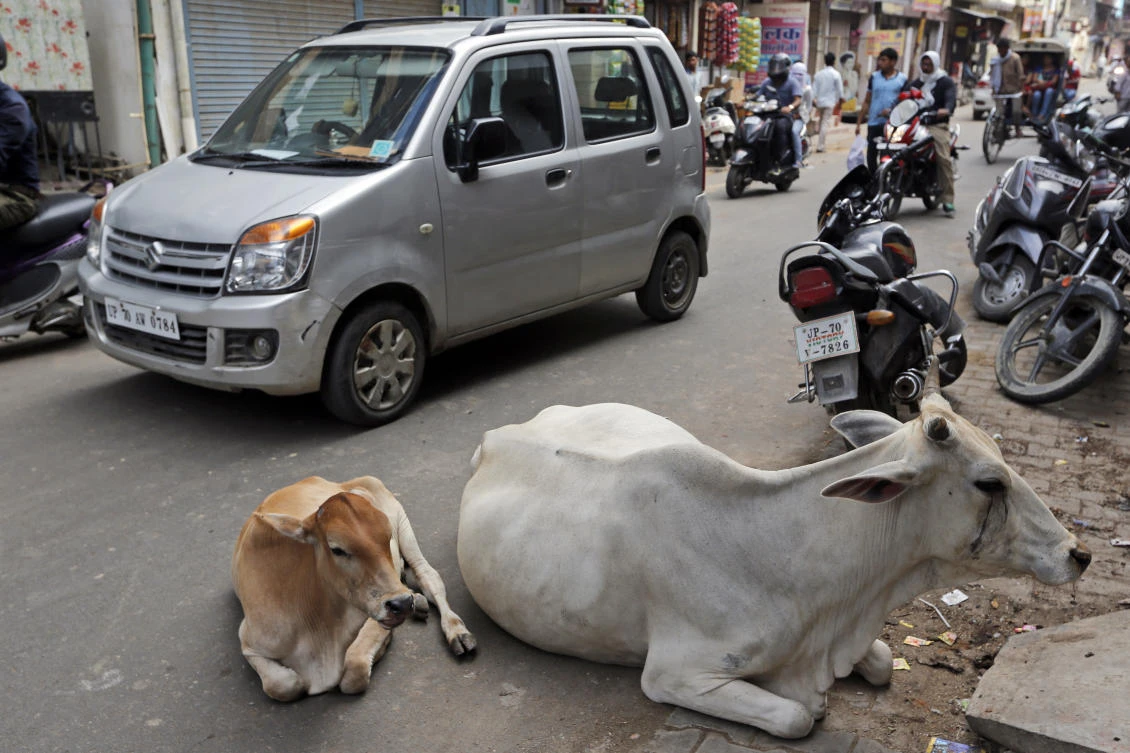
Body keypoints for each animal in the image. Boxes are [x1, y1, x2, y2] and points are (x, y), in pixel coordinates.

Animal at [232, 476, 475, 701]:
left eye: (387, 537)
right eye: (337, 549)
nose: (402, 604)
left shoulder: (374, 613)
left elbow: (354, 671)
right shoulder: (248, 642)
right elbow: (283, 684)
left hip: (403, 524)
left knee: (428, 577)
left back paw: (456, 631)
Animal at [457, 397, 1090, 738]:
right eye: (990, 482)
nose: (1077, 553)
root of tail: (497, 435)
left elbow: (883, 662)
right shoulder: (673, 674)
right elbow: (797, 717)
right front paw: (810, 704)